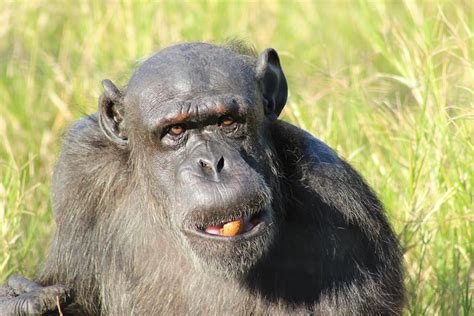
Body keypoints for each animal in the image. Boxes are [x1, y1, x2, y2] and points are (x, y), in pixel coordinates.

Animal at [1, 41, 406, 314]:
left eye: (227, 121)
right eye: (176, 130)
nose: (212, 164)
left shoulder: (344, 209)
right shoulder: (80, 168)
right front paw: (20, 300)